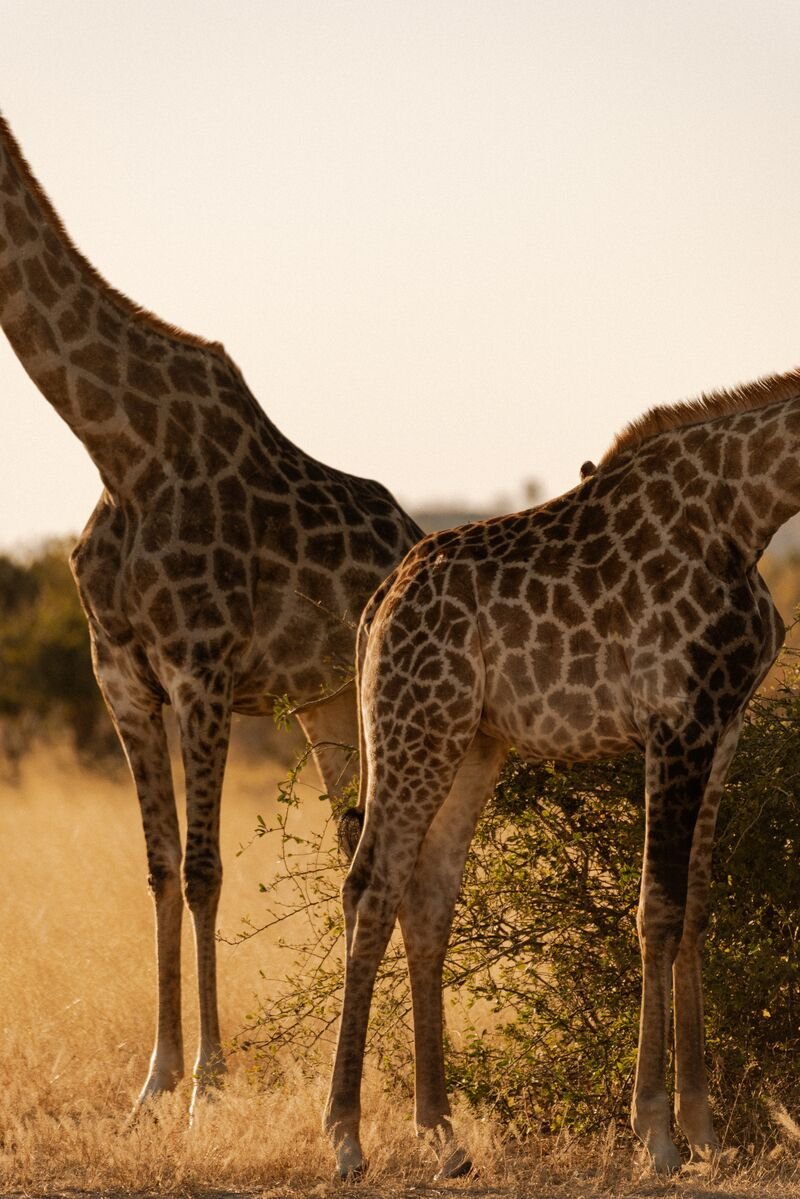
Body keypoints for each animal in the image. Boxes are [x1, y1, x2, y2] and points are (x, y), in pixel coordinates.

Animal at [0, 112, 422, 1115]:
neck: (120, 447)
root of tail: (418, 532)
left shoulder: (202, 668)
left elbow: (203, 869)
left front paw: (208, 1082)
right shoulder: (119, 676)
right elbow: (158, 866)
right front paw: (153, 1080)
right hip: (322, 701)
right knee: (354, 844)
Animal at [323, 369, 800, 1178]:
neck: (748, 512)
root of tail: (377, 606)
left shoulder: (722, 724)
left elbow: (697, 908)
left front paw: (706, 1132)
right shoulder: (674, 721)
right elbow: (658, 910)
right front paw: (657, 1133)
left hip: (472, 742)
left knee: (427, 897)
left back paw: (443, 1134)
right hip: (416, 723)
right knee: (370, 887)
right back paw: (347, 1138)